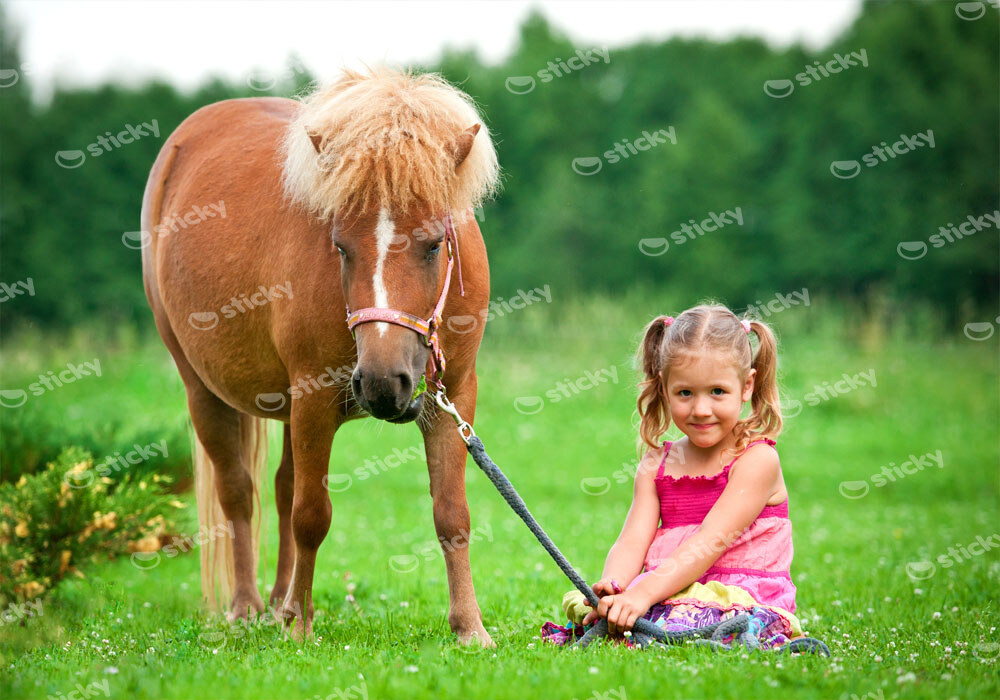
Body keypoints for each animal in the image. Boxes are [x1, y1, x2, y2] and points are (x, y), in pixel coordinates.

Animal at [139, 67, 500, 644]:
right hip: (205, 390)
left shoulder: (455, 395)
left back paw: (278, 602)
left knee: (282, 488)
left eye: (432, 245)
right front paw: (300, 626)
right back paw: (249, 607)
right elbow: (311, 514)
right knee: (239, 493)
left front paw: (469, 628)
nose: (382, 383)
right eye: (340, 246)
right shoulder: (312, 398)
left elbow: (452, 515)